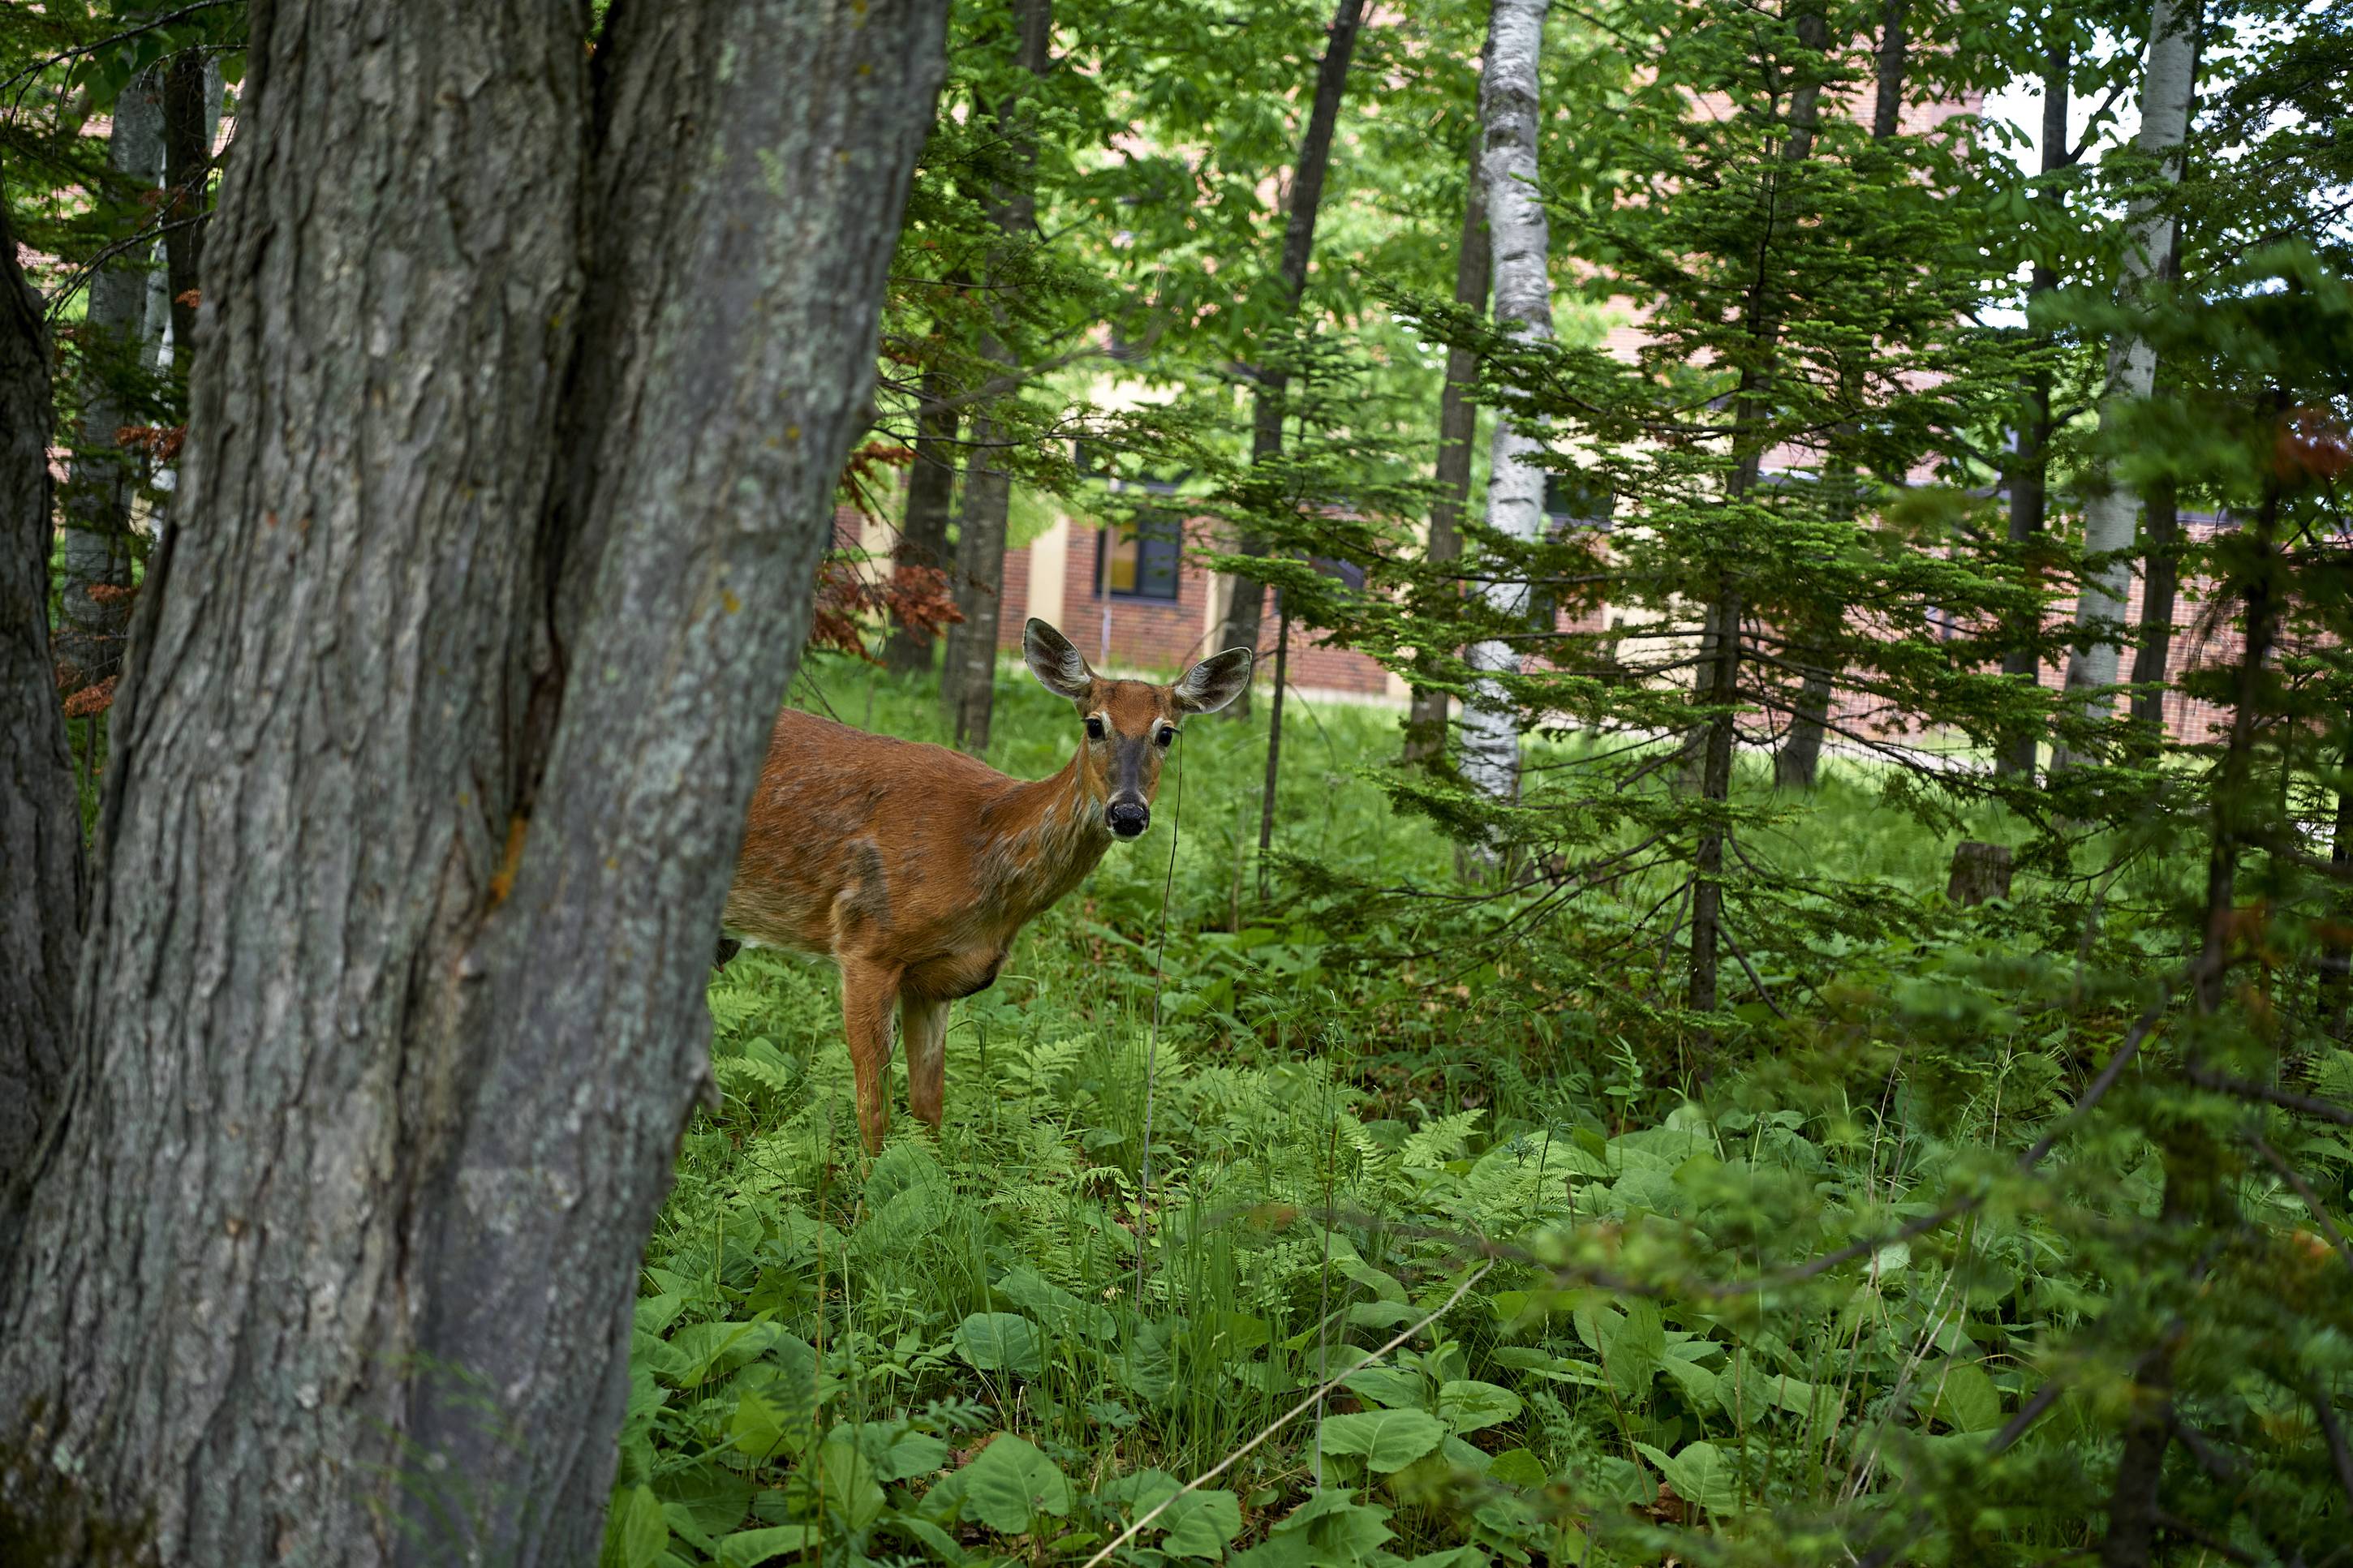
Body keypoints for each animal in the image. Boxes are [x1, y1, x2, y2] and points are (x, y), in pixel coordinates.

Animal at [721, 618, 1255, 1153]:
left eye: (1166, 733)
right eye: (1094, 724)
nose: (1127, 813)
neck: (979, 851)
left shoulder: (936, 981)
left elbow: (929, 1109)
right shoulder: (865, 944)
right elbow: (874, 1116)